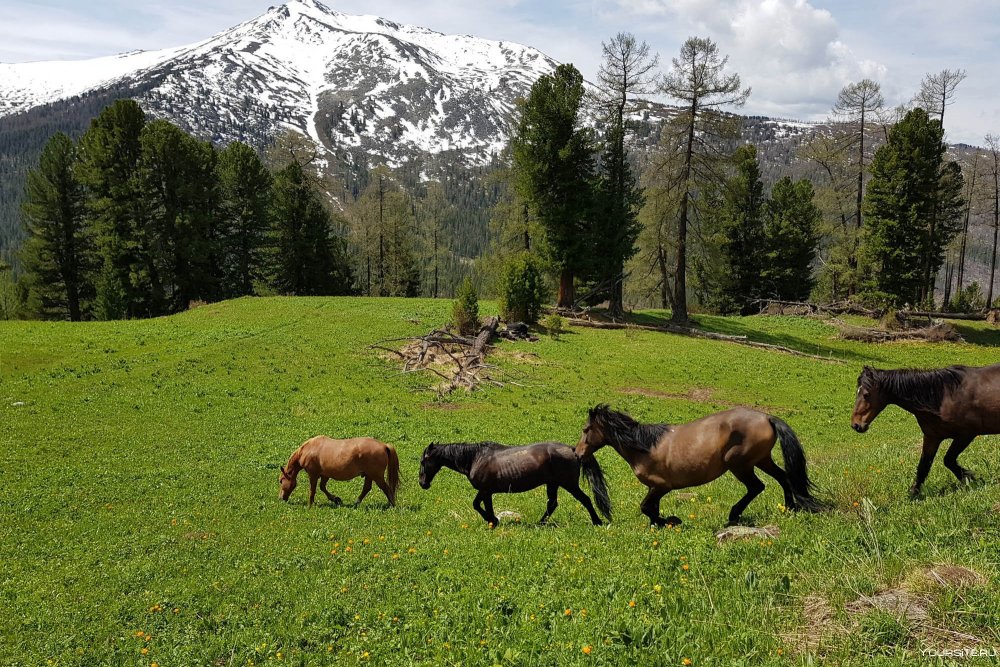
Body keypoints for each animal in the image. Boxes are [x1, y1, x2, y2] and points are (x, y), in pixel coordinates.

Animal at [414, 440, 608, 528]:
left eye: (423, 461)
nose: (422, 483)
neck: (475, 458)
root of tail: (572, 449)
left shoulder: (484, 490)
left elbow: (476, 505)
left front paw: (493, 520)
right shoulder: (488, 492)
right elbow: (485, 506)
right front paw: (493, 521)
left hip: (568, 484)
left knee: (585, 500)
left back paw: (597, 521)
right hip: (552, 484)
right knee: (552, 504)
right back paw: (539, 523)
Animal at [576, 404, 824, 528]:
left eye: (586, 430)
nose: (577, 454)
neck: (644, 446)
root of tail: (767, 418)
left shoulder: (661, 486)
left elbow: (646, 507)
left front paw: (671, 521)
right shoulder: (655, 489)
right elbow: (651, 509)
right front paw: (659, 524)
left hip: (739, 464)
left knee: (756, 487)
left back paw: (733, 516)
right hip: (762, 460)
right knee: (784, 478)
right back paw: (790, 507)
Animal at [852, 366, 1000, 496]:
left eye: (866, 394)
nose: (856, 425)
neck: (943, 396)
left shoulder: (966, 435)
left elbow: (948, 460)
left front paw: (971, 479)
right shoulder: (932, 437)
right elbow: (923, 467)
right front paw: (913, 494)